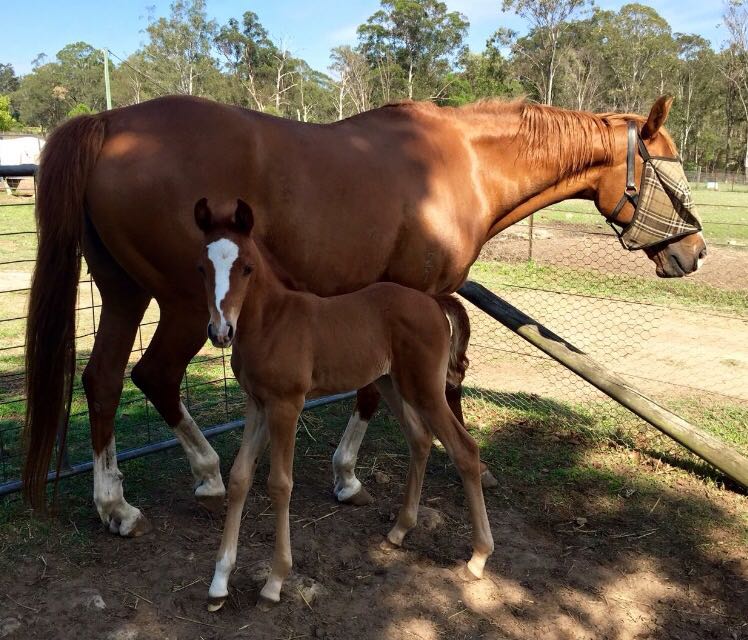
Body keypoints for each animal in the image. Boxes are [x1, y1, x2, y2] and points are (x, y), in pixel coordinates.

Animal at [196, 200, 494, 608]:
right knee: (420, 439)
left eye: (247, 267)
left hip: (425, 390)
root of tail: (432, 300)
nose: (221, 331)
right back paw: (399, 530)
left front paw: (275, 582)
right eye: (203, 266)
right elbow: (240, 478)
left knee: (464, 449)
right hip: (390, 382)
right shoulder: (256, 404)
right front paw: (219, 583)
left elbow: (279, 484)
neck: (271, 322)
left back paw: (478, 557)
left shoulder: (286, 406)